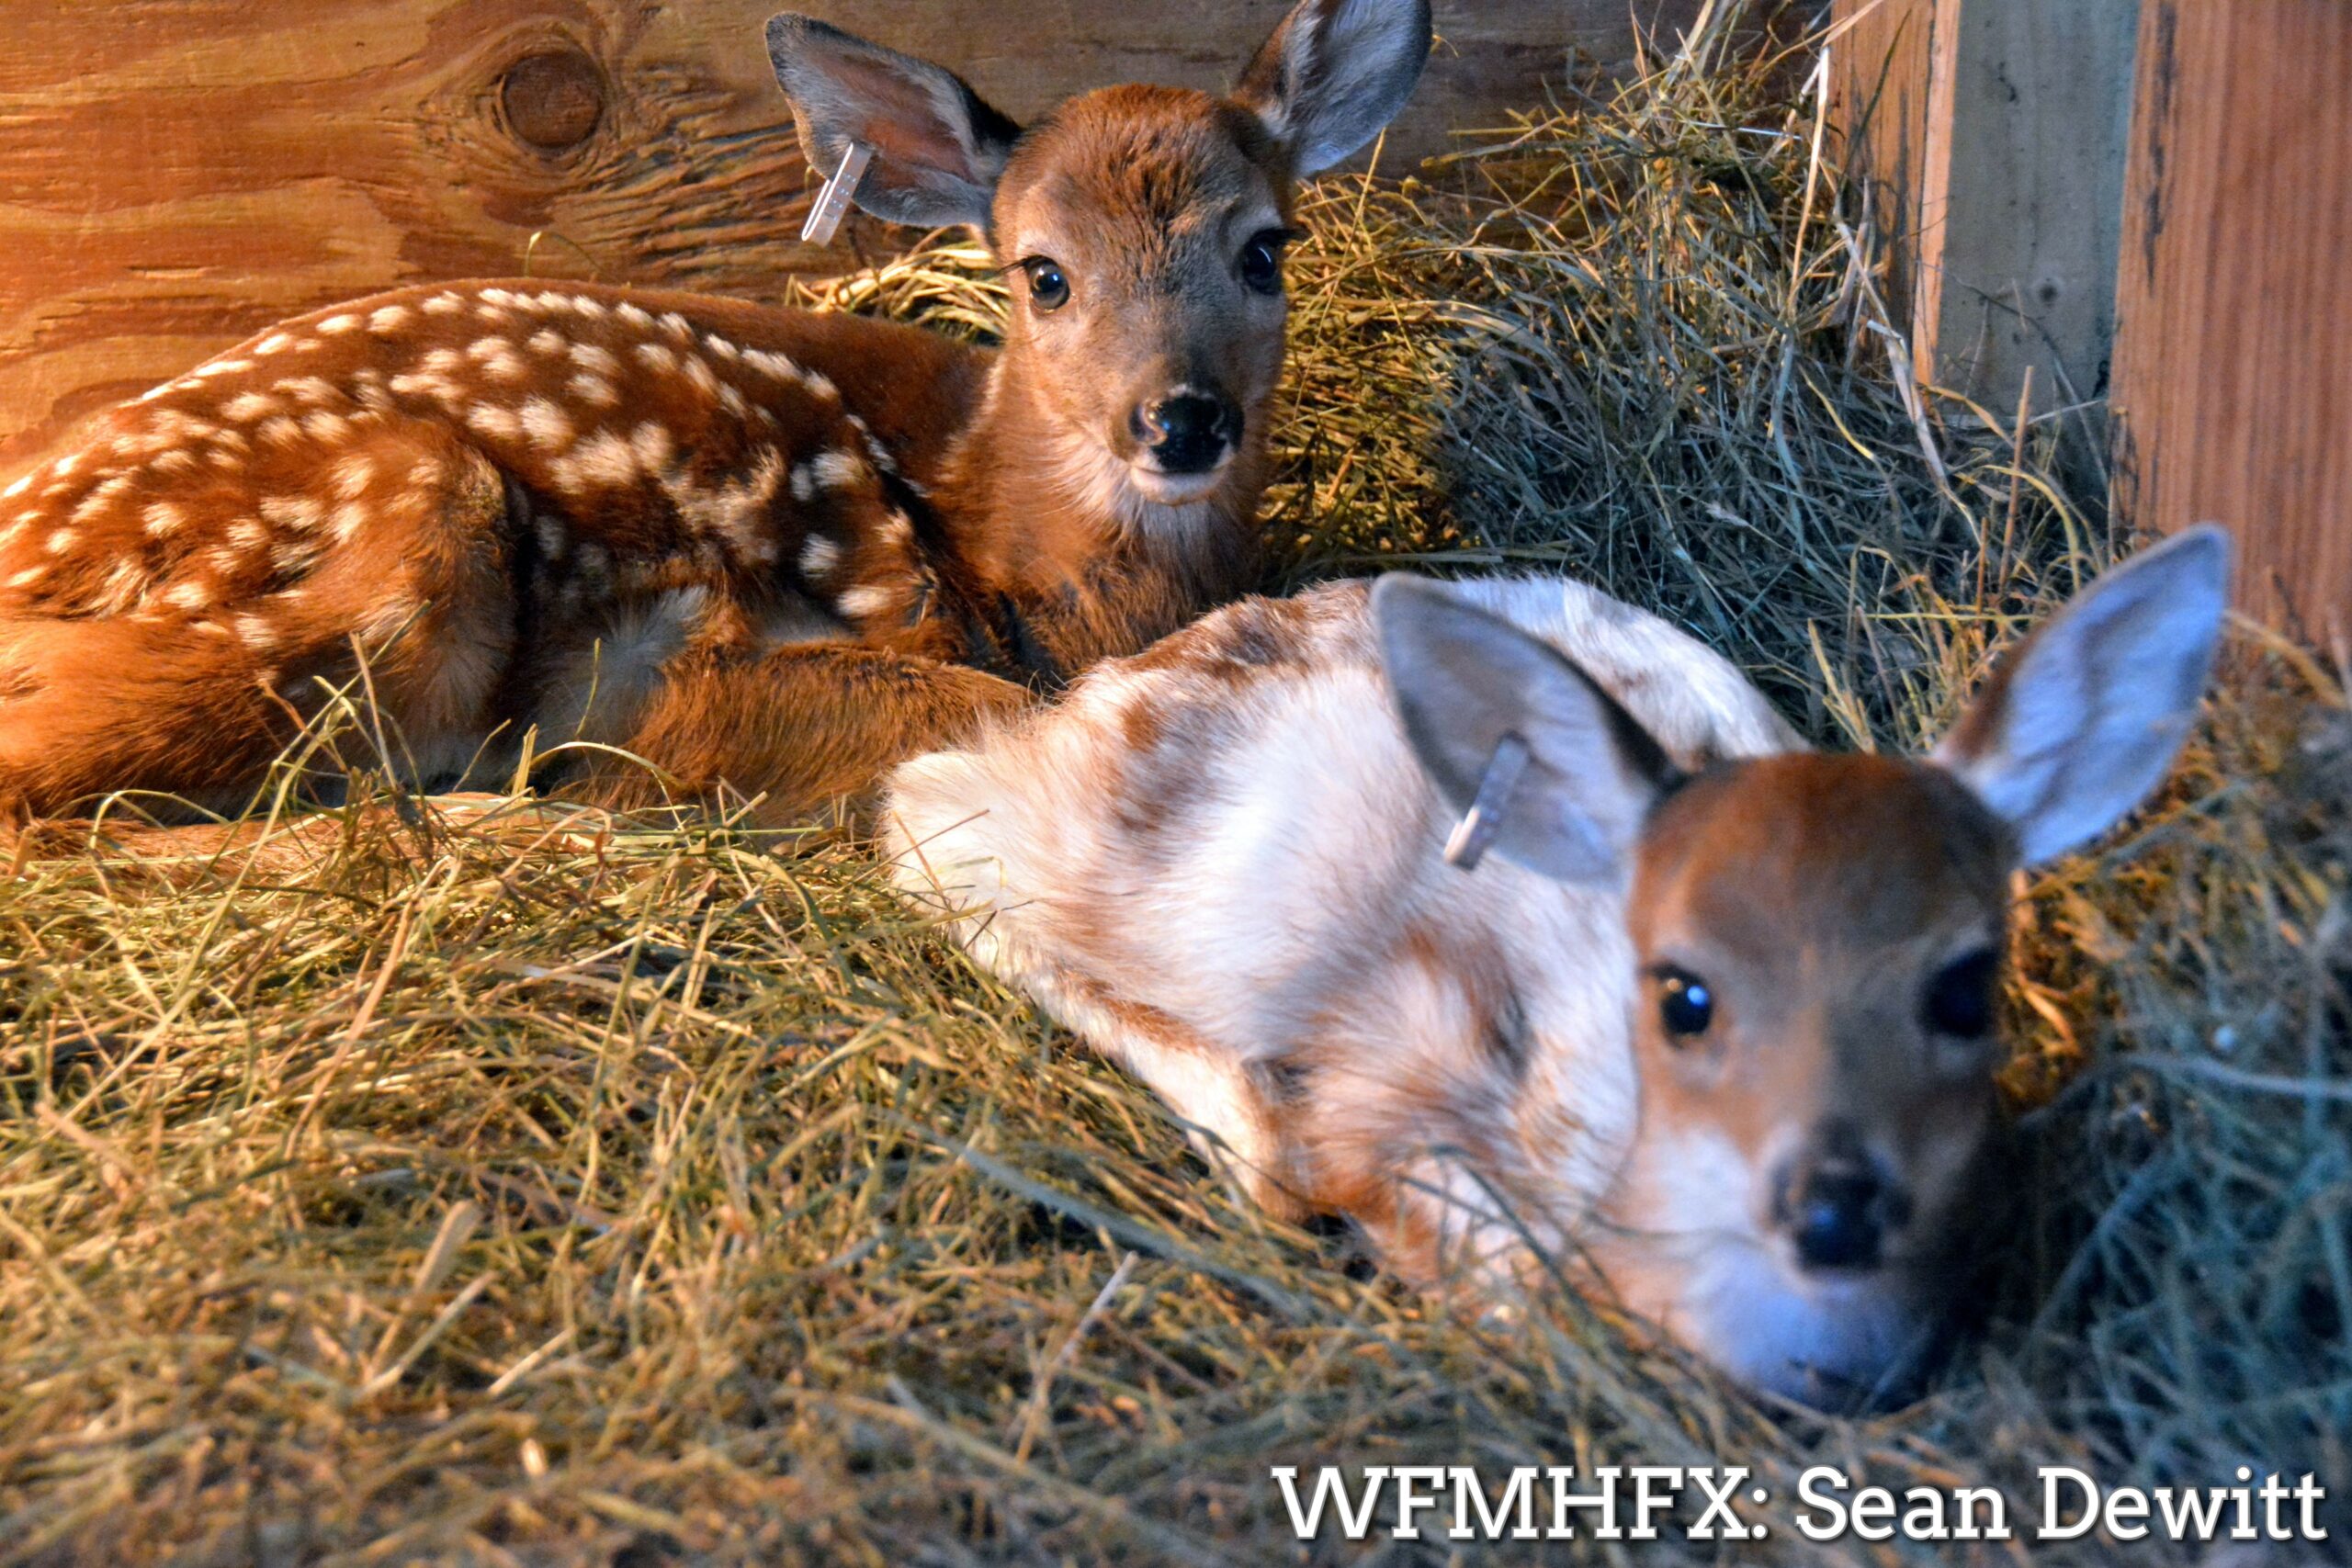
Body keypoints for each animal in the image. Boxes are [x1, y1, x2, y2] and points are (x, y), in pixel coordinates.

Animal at [0, 0, 1433, 828]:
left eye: (1266, 249)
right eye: (1043, 273)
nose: (1179, 420)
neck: (994, 524)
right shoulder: (671, 655)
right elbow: (974, 710)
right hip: (399, 535)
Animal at [884, 528, 2232, 1404]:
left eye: (1963, 989)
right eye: (1685, 995)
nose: (1837, 1202)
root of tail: (1120, 679)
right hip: (1154, 874)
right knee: (926, 821)